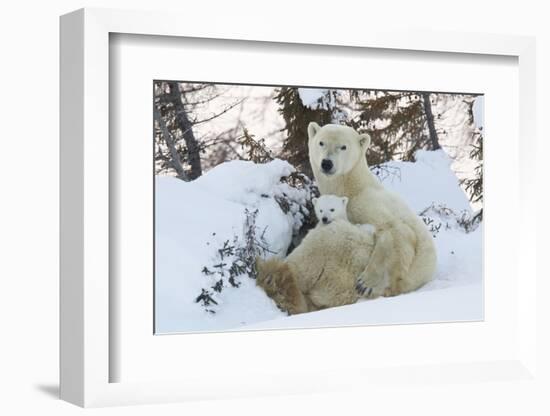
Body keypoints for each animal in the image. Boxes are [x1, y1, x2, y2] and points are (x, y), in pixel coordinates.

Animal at [308, 122, 438, 298]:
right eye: (321, 142)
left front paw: (365, 283)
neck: (353, 187)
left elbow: (397, 231)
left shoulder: (367, 202)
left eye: (343, 146)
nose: (327, 163)